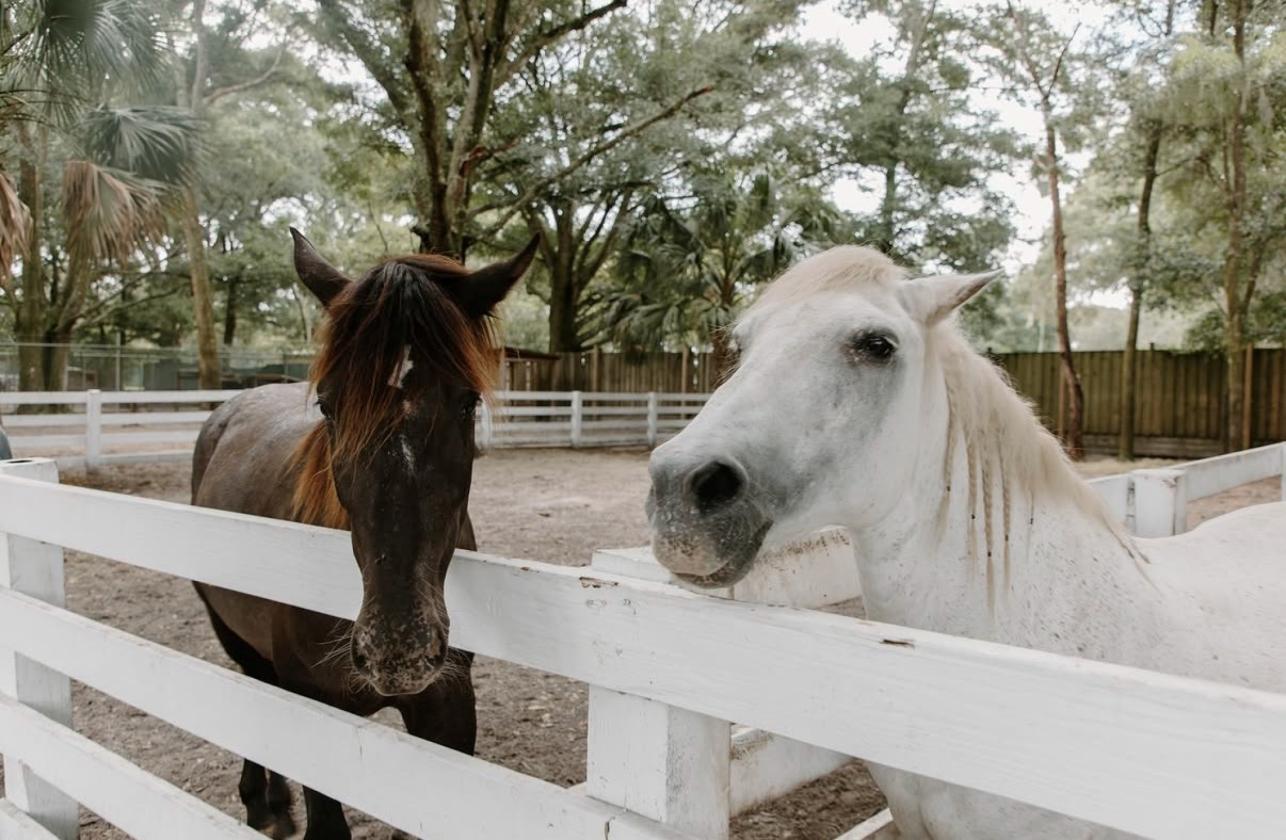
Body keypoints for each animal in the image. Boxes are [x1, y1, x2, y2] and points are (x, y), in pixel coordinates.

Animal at [191, 229, 536, 840]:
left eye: (468, 401)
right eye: (329, 405)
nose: (396, 650)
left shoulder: (447, 707)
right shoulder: (317, 709)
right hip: (231, 631)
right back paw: (263, 803)